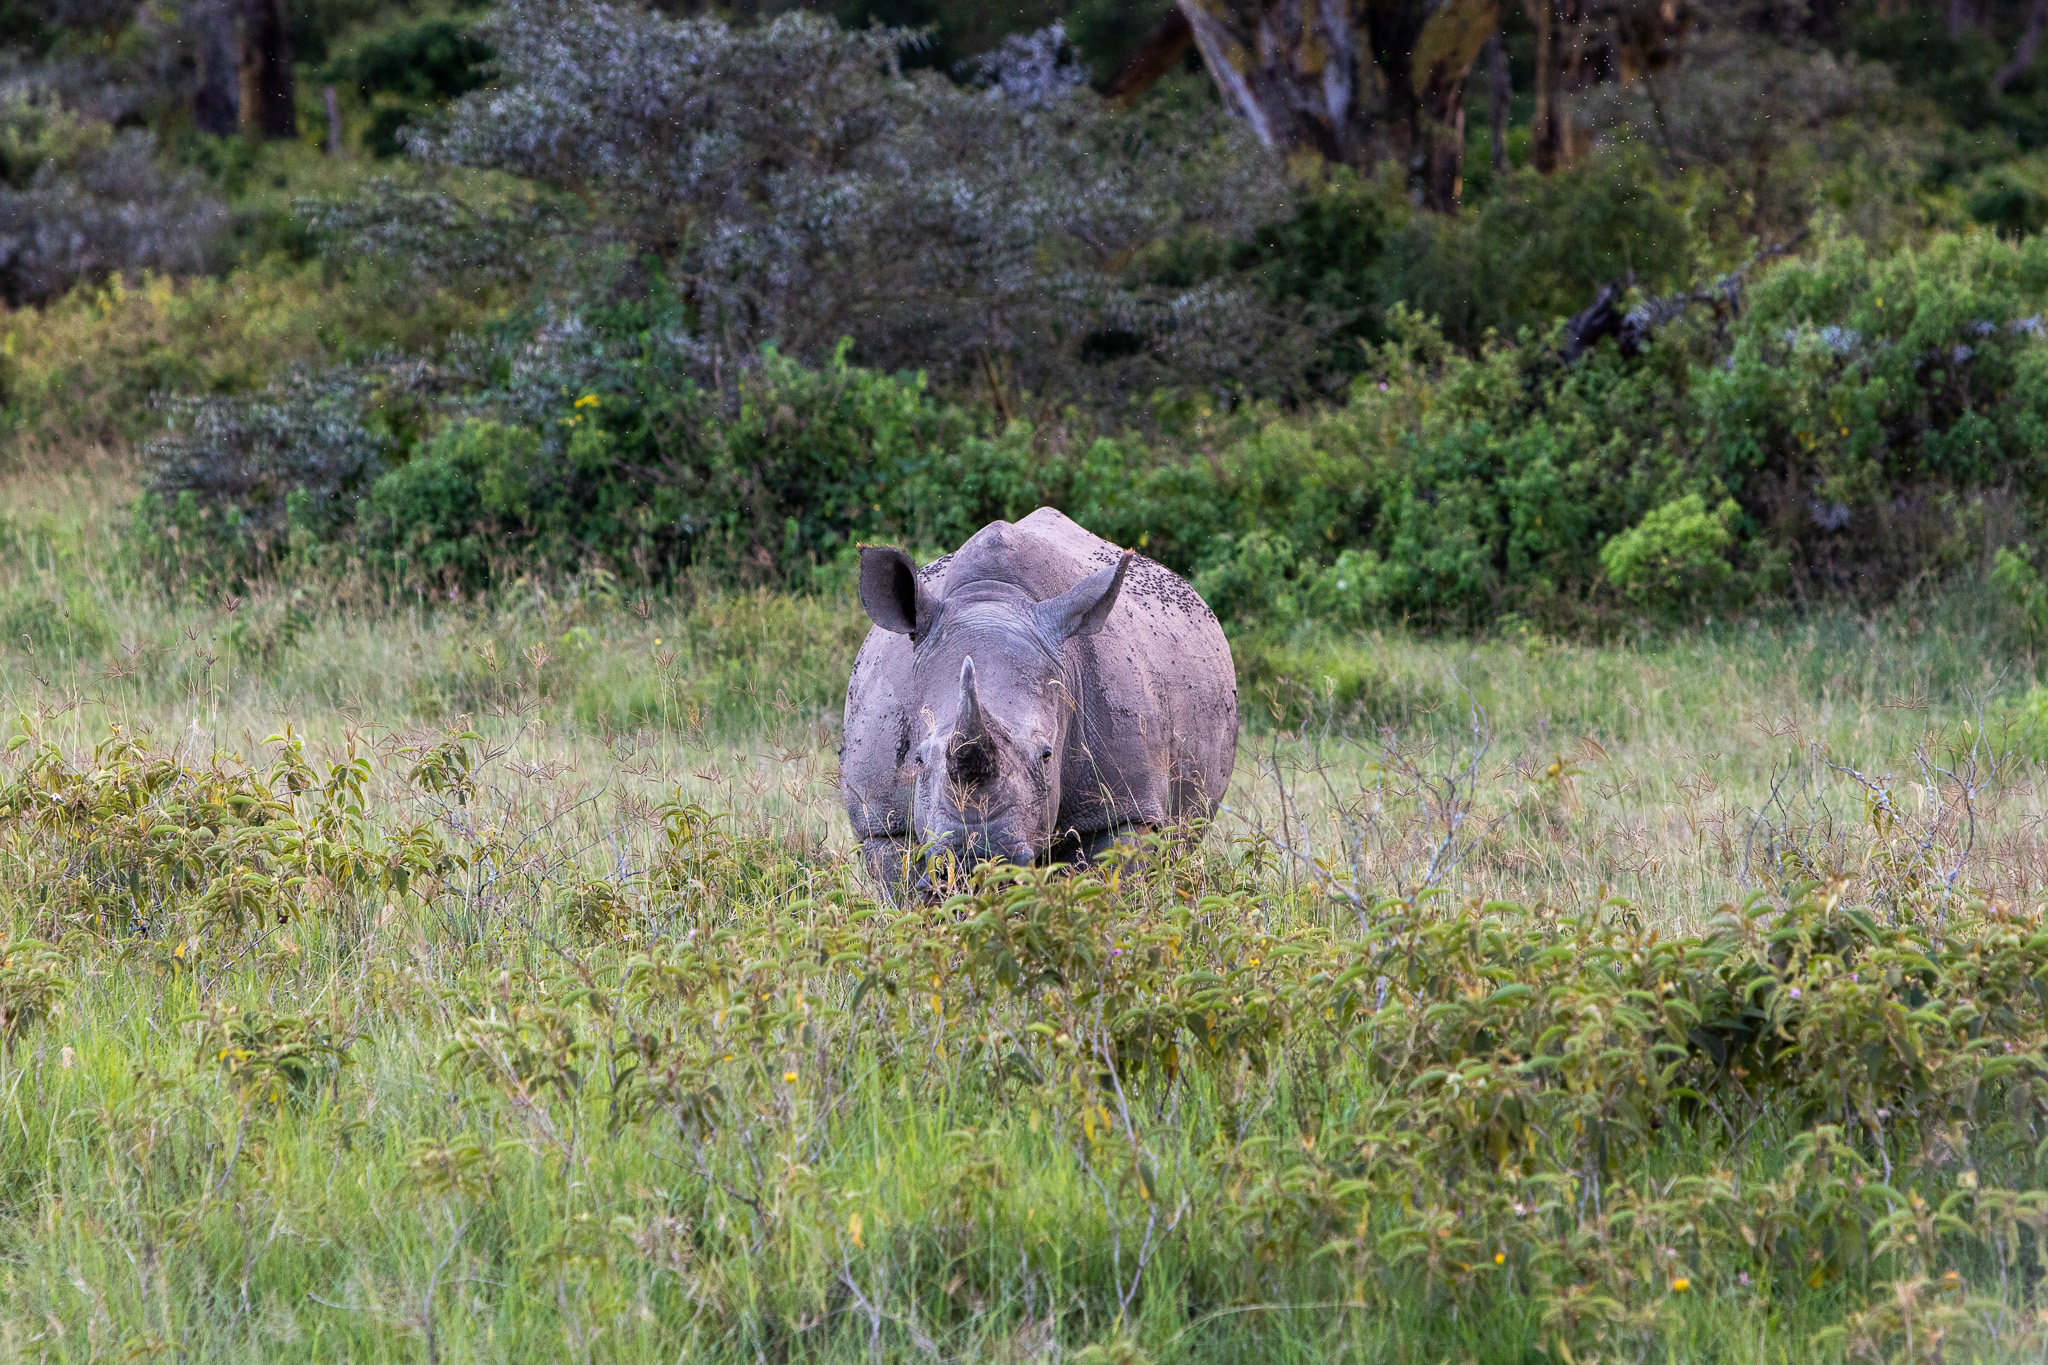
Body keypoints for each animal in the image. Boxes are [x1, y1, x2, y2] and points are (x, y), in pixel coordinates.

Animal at [840, 508, 1238, 894]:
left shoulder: (1125, 811)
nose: (974, 862)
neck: (992, 598)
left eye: (1047, 756)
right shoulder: (882, 822)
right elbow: (902, 888)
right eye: (918, 760)